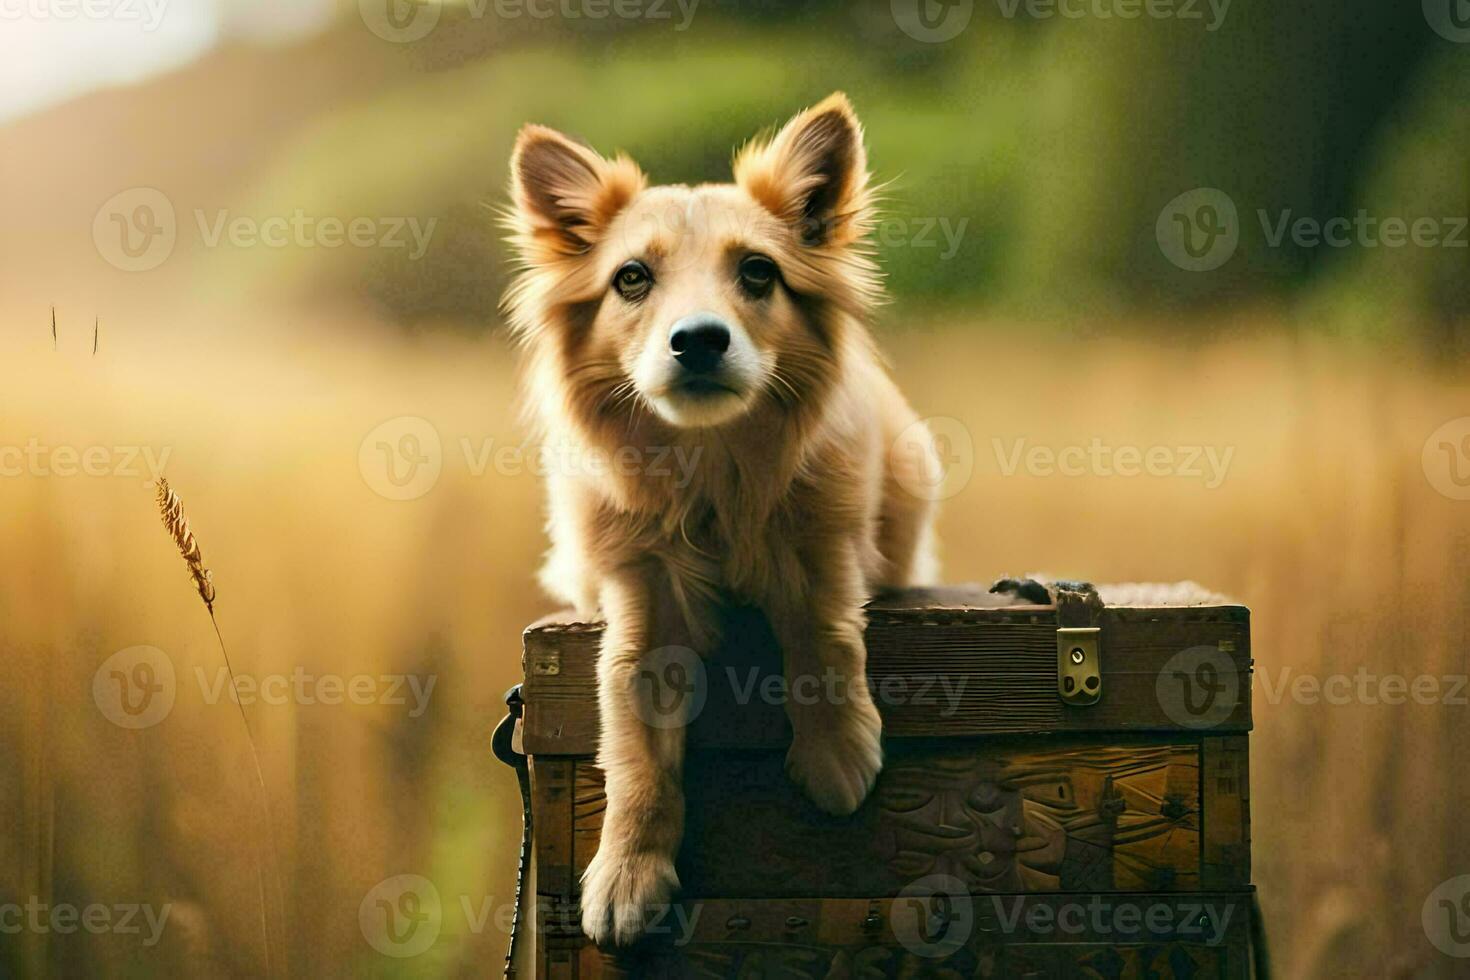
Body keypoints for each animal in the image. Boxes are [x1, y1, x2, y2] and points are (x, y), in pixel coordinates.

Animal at [502, 95, 940, 946]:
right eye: (632, 278)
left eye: (758, 272)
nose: (700, 340)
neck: (710, 467)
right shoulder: (643, 602)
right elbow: (634, 740)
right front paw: (627, 869)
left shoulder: (821, 544)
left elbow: (826, 636)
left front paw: (836, 752)